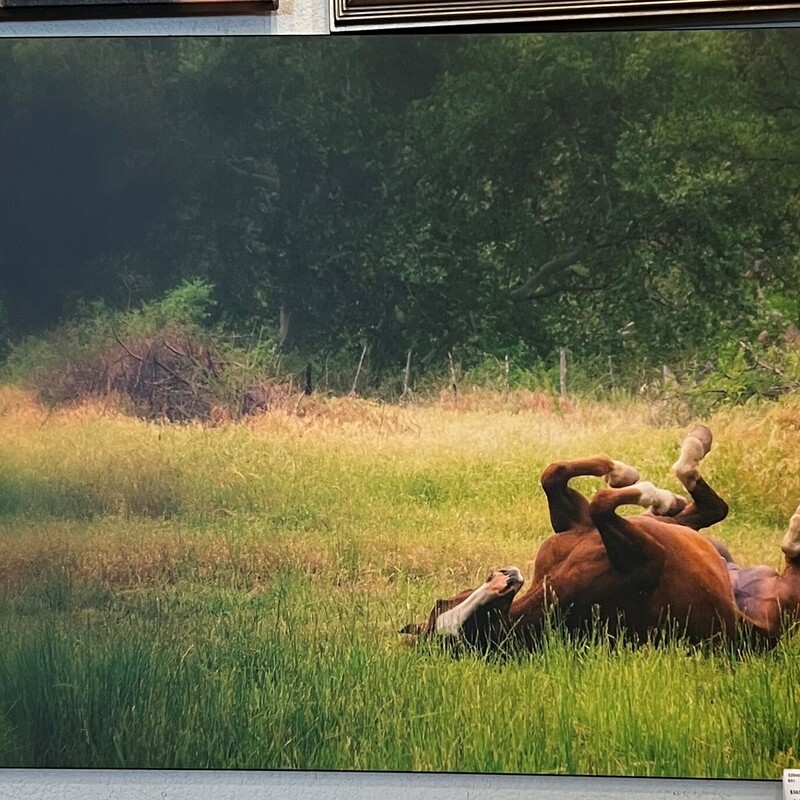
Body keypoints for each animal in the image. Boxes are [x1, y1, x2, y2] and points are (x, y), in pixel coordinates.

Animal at [404, 424, 780, 648]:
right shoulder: (649, 560)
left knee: (709, 507)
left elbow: (553, 474)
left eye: (444, 601)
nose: (504, 578)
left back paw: (691, 453)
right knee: (712, 506)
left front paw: (623, 473)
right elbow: (600, 502)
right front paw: (650, 491)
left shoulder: (573, 526)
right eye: (477, 624)